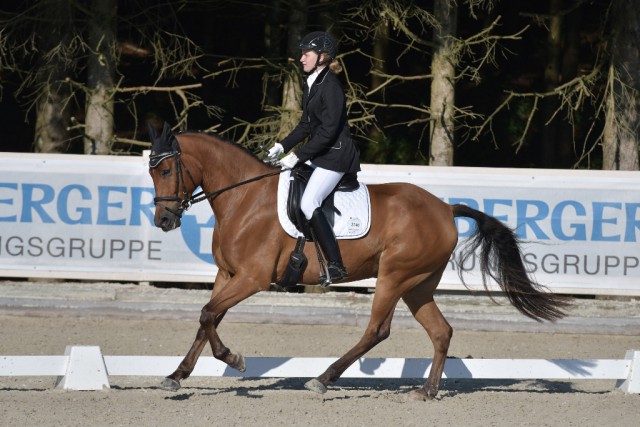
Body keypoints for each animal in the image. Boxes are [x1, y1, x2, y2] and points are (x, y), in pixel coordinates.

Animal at [146, 123, 568, 402]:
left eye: (165, 170)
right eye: (152, 171)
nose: (164, 221)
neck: (243, 198)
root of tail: (445, 210)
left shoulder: (252, 277)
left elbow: (207, 314)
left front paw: (234, 359)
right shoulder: (227, 274)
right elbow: (208, 318)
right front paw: (176, 375)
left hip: (395, 276)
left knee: (377, 331)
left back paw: (323, 378)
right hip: (418, 284)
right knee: (441, 332)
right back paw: (427, 391)